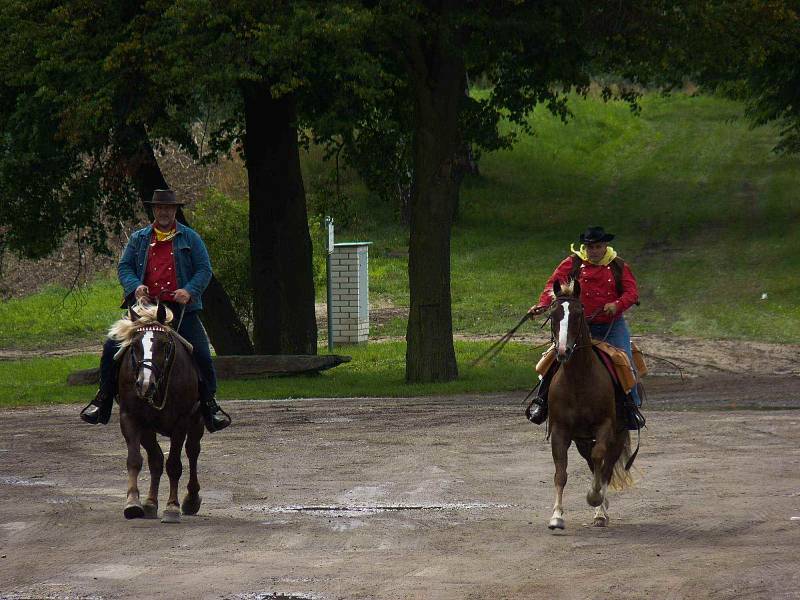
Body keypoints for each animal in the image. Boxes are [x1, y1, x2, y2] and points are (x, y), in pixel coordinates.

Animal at [110, 302, 206, 524]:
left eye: (163, 344)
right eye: (135, 345)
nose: (144, 384)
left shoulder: (181, 421)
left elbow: (174, 465)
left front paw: (172, 507)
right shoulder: (132, 419)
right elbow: (137, 460)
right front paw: (133, 503)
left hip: (196, 422)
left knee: (192, 452)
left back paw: (191, 499)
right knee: (156, 459)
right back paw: (151, 503)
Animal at [548, 278, 636, 528]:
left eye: (578, 314)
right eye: (553, 314)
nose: (563, 351)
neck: (579, 380)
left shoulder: (605, 426)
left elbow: (600, 460)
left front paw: (594, 497)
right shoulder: (560, 430)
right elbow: (561, 473)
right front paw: (556, 516)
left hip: (617, 435)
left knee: (605, 466)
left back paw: (600, 511)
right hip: (582, 439)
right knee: (592, 463)